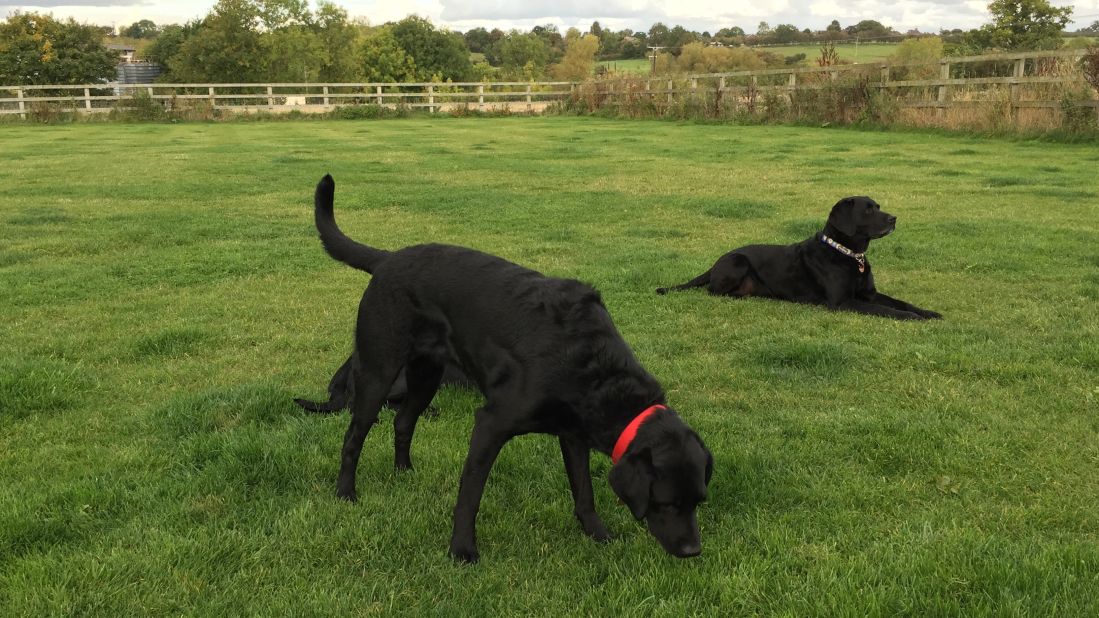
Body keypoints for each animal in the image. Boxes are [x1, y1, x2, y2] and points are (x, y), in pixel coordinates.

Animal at [655, 195, 940, 323]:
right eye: (868, 209)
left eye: (878, 206)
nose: (894, 219)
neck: (846, 253)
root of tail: (715, 263)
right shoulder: (843, 302)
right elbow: (887, 310)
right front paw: (913, 318)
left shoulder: (868, 294)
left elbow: (901, 302)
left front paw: (929, 312)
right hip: (739, 262)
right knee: (713, 291)